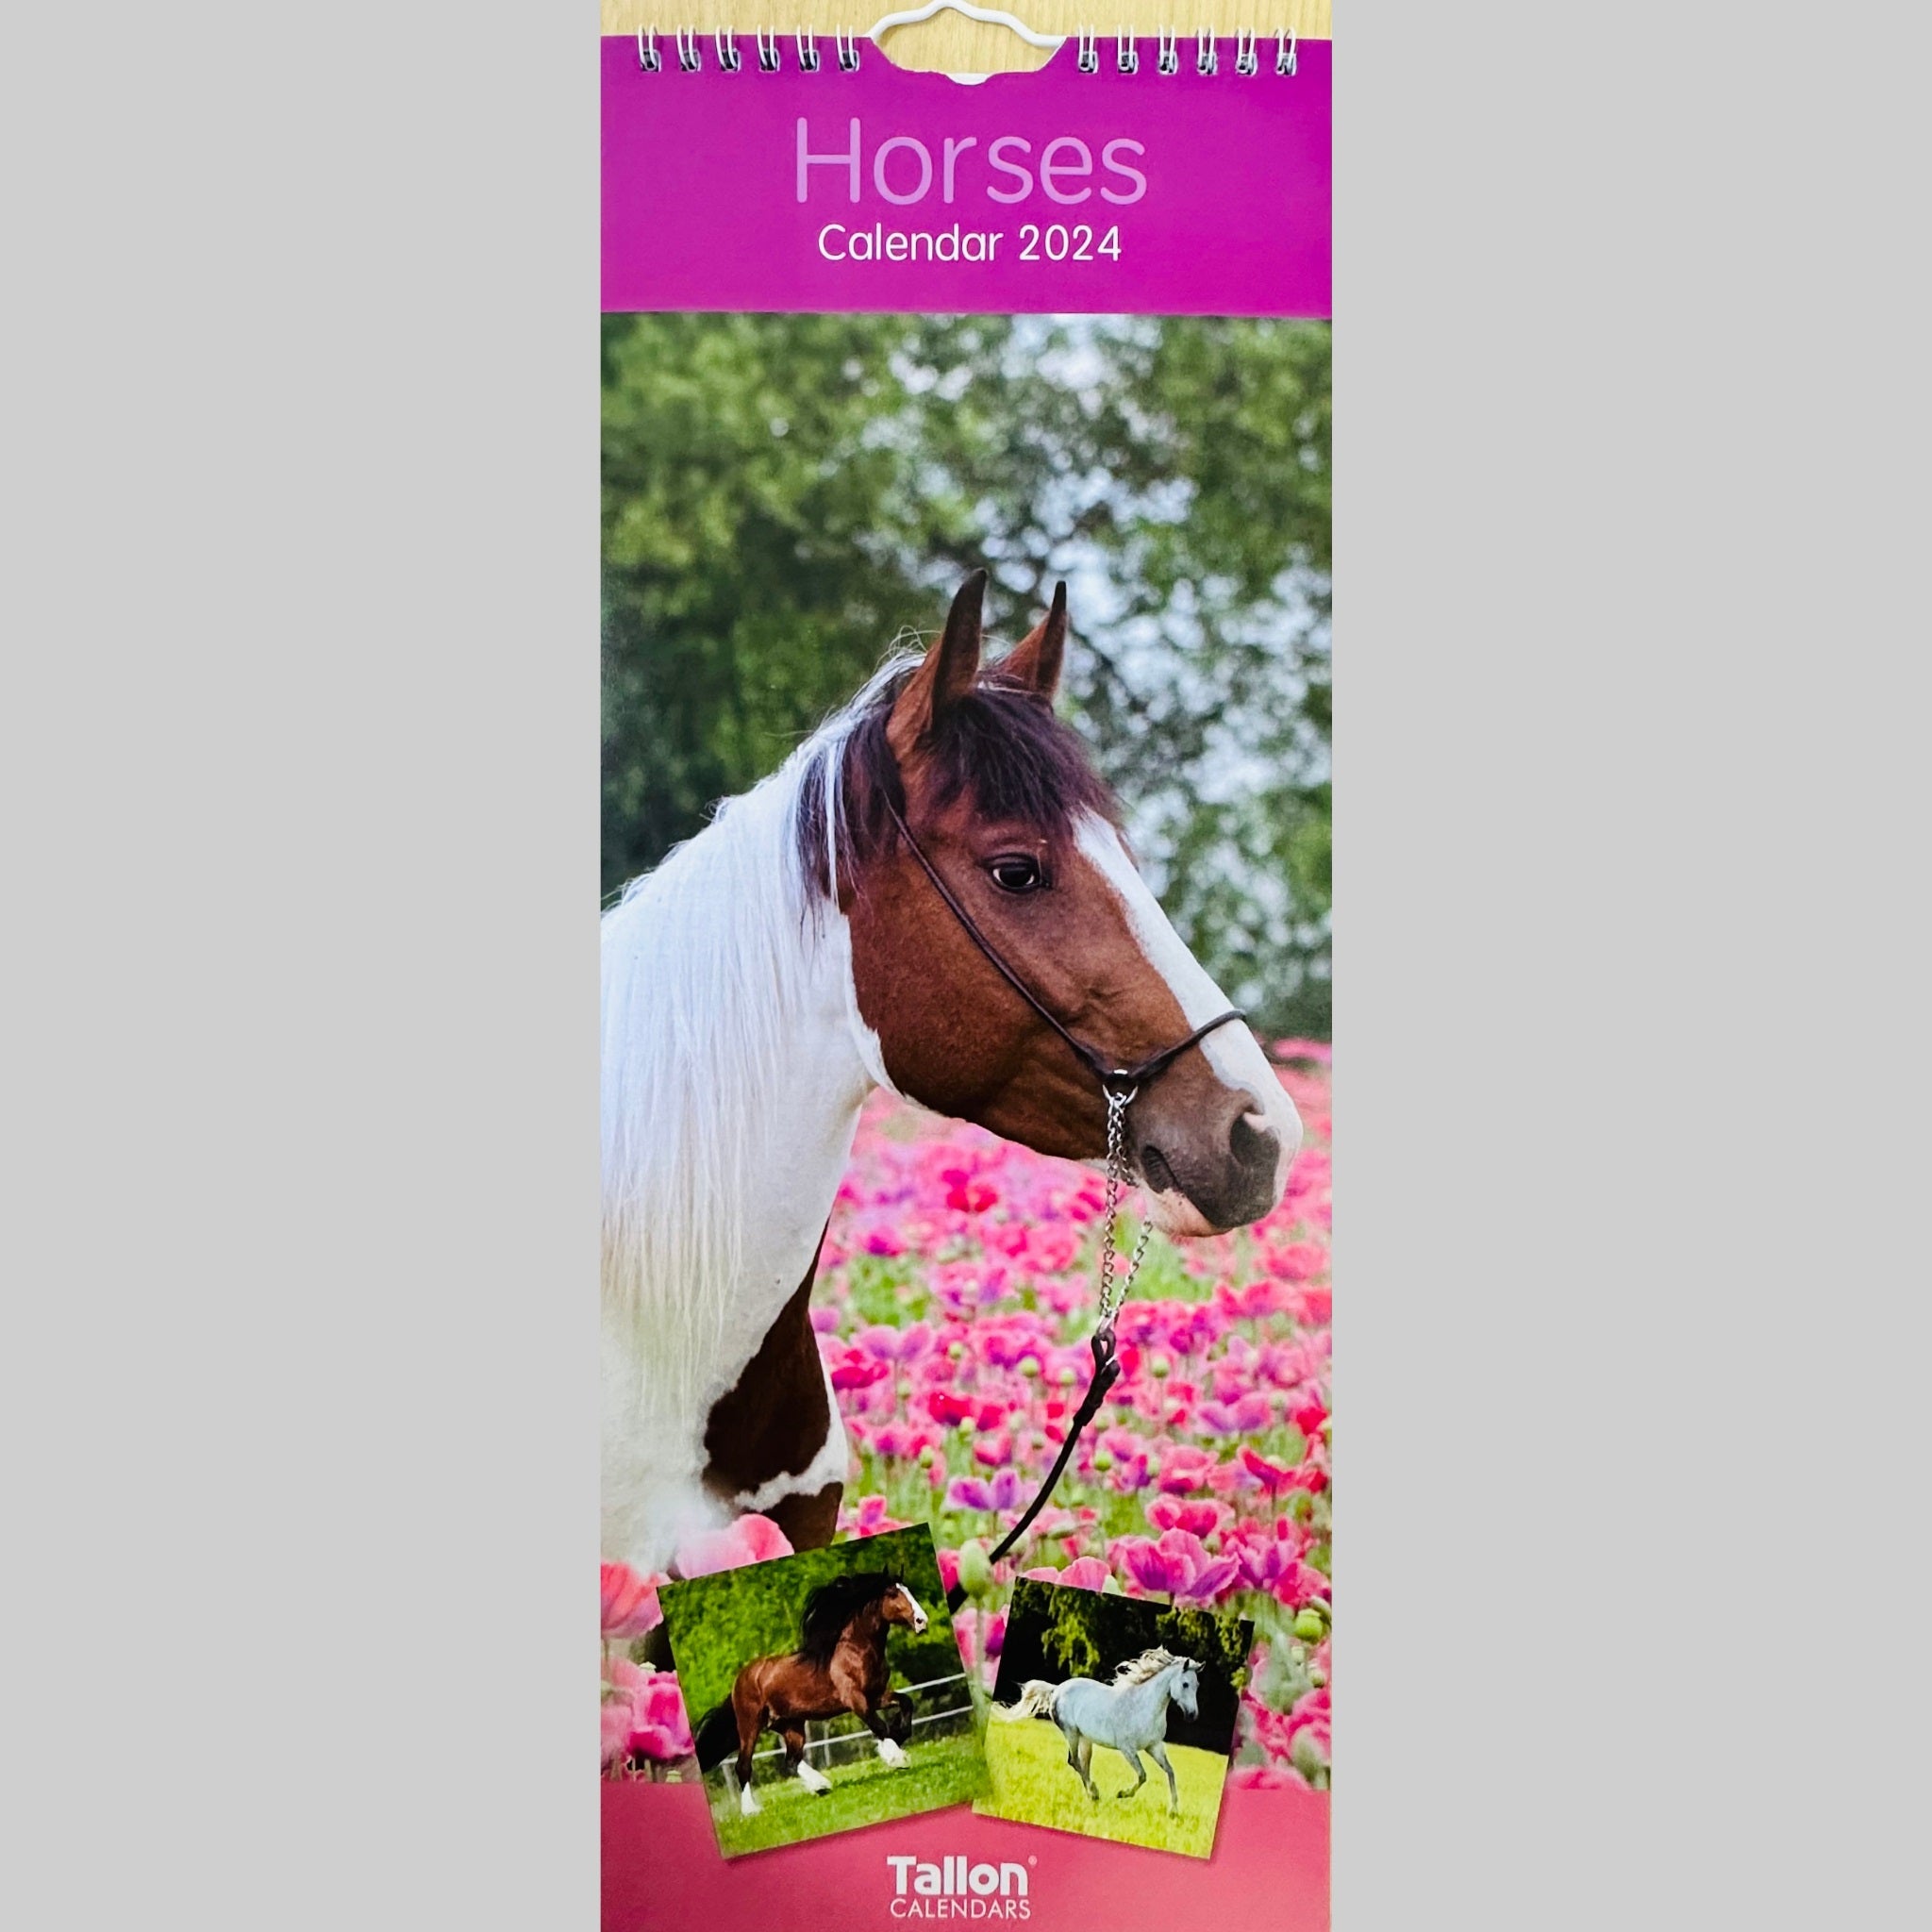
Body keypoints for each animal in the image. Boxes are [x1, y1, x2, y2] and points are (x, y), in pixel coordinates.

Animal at [691, 1572, 931, 1815]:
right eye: (893, 1594)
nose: (922, 1621)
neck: (856, 1651)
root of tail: (740, 1679)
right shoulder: (856, 1700)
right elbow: (879, 1726)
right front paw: (897, 1758)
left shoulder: (876, 1696)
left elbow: (906, 1702)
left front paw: (899, 1735)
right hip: (750, 1726)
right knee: (744, 1765)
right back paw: (751, 1810)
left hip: (790, 1725)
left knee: (791, 1760)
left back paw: (821, 1785)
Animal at [999, 1647, 1202, 1814]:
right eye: (1185, 1684)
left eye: (1197, 1686)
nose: (1192, 1715)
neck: (1144, 1707)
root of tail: (1057, 1689)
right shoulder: (1127, 1749)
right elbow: (1143, 1775)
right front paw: (1122, 1794)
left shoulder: (1154, 1747)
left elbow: (1170, 1771)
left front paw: (1174, 1811)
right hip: (1071, 1733)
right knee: (1074, 1761)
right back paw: (1095, 1793)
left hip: (1085, 1739)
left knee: (1083, 1764)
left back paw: (1092, 1795)